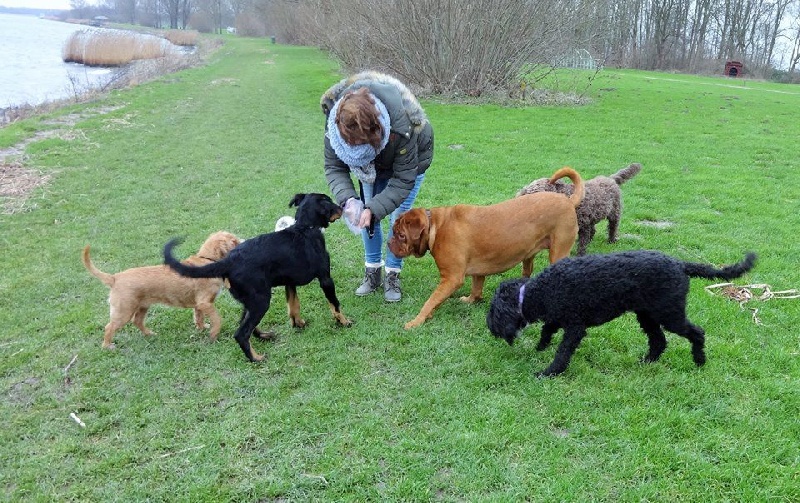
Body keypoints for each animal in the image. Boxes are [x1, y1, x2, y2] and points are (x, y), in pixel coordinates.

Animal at [83, 230, 244, 348]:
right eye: (234, 241)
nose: (245, 240)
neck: (207, 260)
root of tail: (115, 278)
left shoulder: (199, 305)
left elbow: (199, 317)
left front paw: (202, 328)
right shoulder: (205, 303)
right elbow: (217, 318)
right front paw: (214, 334)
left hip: (142, 307)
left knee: (137, 322)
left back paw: (150, 334)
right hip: (124, 311)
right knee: (109, 327)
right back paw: (107, 346)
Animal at [162, 193, 350, 362]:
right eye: (329, 202)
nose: (343, 207)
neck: (305, 228)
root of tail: (228, 261)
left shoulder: (289, 283)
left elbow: (293, 305)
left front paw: (298, 324)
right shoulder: (325, 278)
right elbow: (334, 304)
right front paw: (344, 322)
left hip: (250, 300)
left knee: (245, 325)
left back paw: (264, 336)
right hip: (261, 300)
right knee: (241, 333)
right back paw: (256, 358)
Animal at [384, 167, 584, 328]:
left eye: (400, 235)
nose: (388, 243)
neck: (435, 227)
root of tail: (568, 200)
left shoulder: (451, 278)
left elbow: (431, 301)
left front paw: (417, 321)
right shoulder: (477, 272)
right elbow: (475, 288)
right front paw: (471, 300)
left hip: (558, 253)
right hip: (529, 256)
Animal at [488, 250, 756, 376]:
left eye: (492, 313)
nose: (490, 328)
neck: (536, 291)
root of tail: (680, 264)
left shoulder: (575, 327)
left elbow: (562, 352)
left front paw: (549, 372)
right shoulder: (559, 317)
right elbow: (547, 329)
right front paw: (540, 347)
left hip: (669, 314)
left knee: (697, 332)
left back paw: (699, 360)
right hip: (647, 315)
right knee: (659, 341)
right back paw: (647, 362)